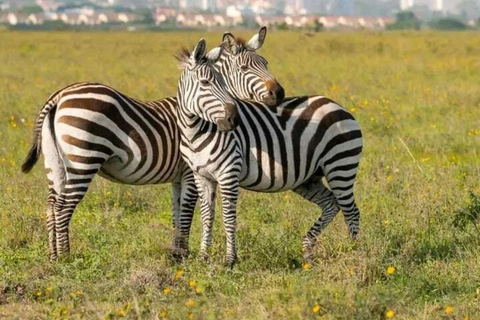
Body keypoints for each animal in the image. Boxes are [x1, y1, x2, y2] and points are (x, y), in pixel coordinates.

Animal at [21, 28, 284, 262]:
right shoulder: (190, 172)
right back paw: (66, 257)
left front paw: (176, 253)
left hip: (55, 163)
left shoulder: (179, 177)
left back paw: (53, 256)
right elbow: (187, 211)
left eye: (266, 62)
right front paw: (182, 255)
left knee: (51, 205)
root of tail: (59, 95)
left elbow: (177, 213)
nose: (279, 93)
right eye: (245, 68)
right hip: (83, 160)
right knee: (63, 207)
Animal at [178, 38, 362, 268]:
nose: (233, 120)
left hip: (341, 166)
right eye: (205, 83)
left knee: (351, 211)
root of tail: (338, 106)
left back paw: (354, 254)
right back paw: (308, 250)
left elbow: (228, 217)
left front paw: (230, 260)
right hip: (309, 178)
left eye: (222, 83)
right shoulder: (201, 176)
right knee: (331, 204)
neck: (196, 131)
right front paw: (203, 257)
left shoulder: (228, 174)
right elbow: (206, 216)